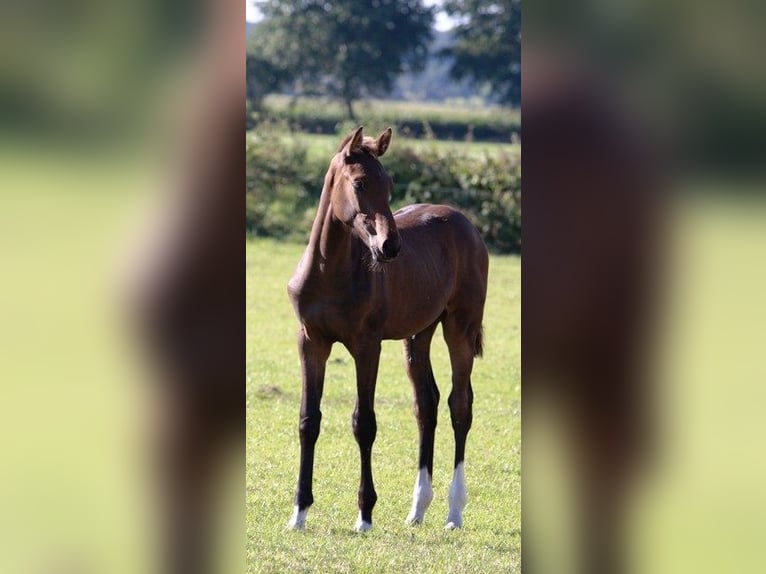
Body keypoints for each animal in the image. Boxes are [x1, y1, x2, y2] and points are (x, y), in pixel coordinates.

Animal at [285, 126, 489, 532]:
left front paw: (364, 514)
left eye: (390, 184)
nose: (390, 246)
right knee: (427, 404)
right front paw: (299, 512)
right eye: (360, 183)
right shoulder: (311, 342)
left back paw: (454, 512)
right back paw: (418, 509)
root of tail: (466, 224)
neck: (329, 272)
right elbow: (308, 420)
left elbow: (364, 423)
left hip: (460, 328)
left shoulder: (367, 346)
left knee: (460, 405)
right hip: (418, 334)